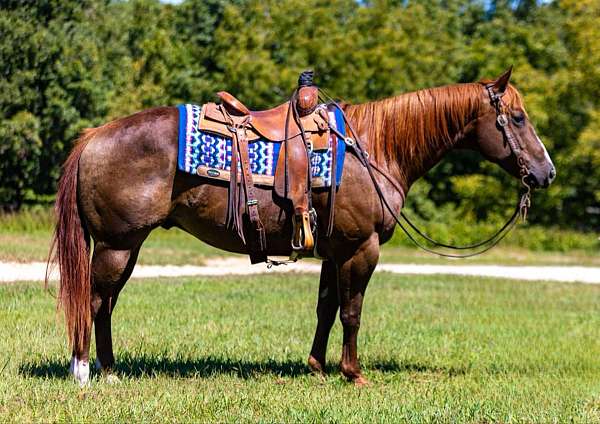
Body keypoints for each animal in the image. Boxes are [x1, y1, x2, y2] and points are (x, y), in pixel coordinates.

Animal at [48, 67, 556, 388]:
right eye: (517, 118)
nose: (546, 172)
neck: (374, 147)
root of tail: (93, 137)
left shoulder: (335, 251)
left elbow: (326, 309)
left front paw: (316, 367)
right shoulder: (362, 248)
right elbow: (352, 312)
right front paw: (353, 373)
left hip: (125, 247)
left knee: (105, 305)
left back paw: (110, 369)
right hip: (116, 245)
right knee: (94, 301)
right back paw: (84, 373)